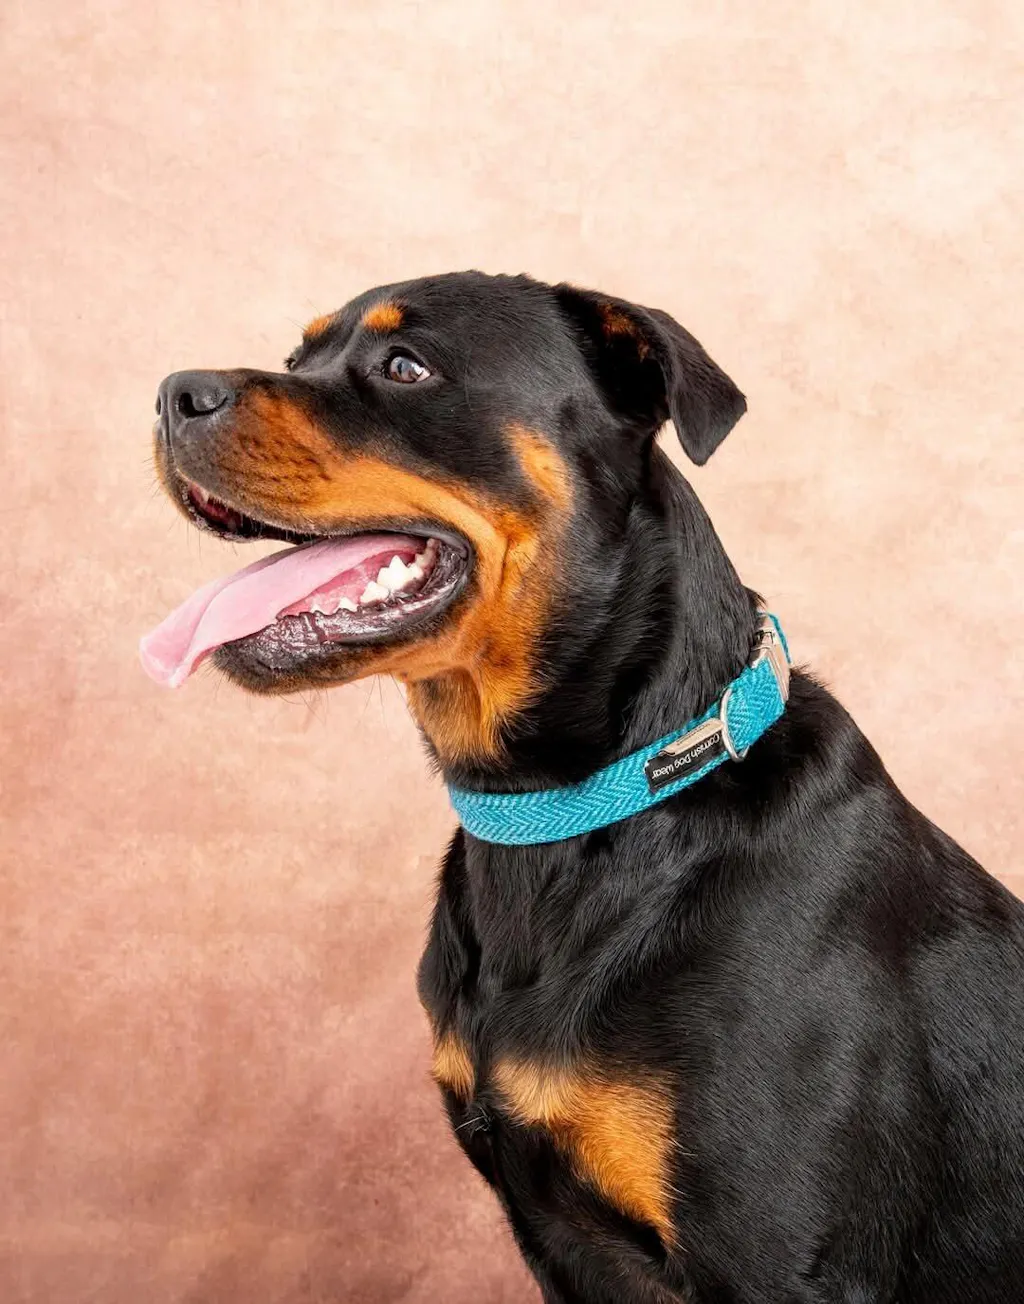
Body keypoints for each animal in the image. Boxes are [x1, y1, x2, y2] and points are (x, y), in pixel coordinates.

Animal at [143, 272, 1024, 1302]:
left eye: (405, 366)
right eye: (298, 358)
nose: (173, 393)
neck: (571, 811)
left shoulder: (777, 1259)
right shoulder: (557, 1239)